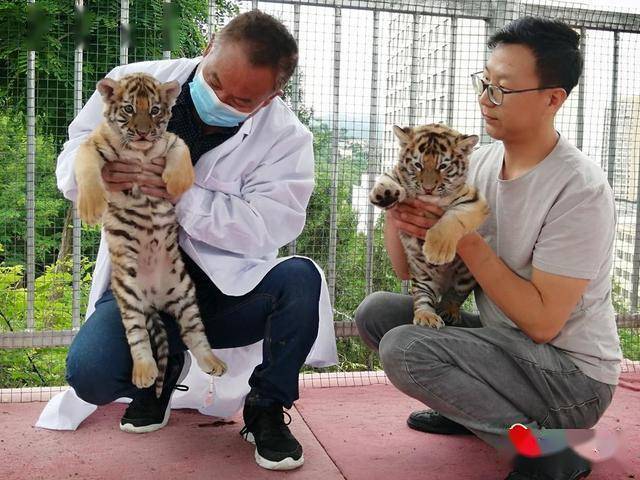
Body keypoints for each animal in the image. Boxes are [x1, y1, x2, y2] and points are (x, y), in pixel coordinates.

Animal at [74, 72, 227, 397]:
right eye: (130, 109)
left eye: (155, 110)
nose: (144, 133)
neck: (140, 151)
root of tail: (152, 298)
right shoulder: (92, 145)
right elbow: (86, 166)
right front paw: (91, 207)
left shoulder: (170, 140)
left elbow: (181, 149)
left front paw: (177, 183)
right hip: (129, 294)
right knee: (138, 335)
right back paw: (144, 371)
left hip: (184, 291)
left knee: (194, 333)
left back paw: (212, 361)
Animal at [369, 123, 489, 329]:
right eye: (418, 165)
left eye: (443, 166)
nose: (428, 189)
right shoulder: (396, 174)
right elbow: (387, 177)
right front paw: (384, 193)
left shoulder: (473, 201)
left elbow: (452, 218)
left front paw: (437, 251)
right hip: (422, 273)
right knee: (423, 297)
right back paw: (426, 316)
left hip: (466, 275)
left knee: (454, 296)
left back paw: (449, 311)